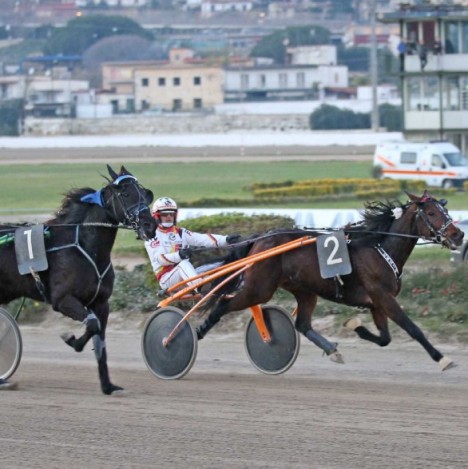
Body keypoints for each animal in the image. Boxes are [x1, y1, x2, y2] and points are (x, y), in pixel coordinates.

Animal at [0, 165, 156, 394]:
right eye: (125, 193)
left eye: (145, 193)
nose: (150, 225)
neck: (86, 248)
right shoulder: (62, 300)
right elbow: (91, 324)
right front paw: (71, 339)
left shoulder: (101, 303)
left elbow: (99, 338)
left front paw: (108, 386)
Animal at [196, 191, 464, 371]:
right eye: (431, 213)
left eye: (445, 211)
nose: (458, 235)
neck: (380, 247)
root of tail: (260, 239)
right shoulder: (383, 297)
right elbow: (412, 328)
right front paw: (443, 358)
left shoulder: (377, 303)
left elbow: (385, 339)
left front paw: (355, 326)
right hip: (259, 288)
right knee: (222, 304)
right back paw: (194, 333)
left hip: (304, 290)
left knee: (302, 324)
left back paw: (332, 350)